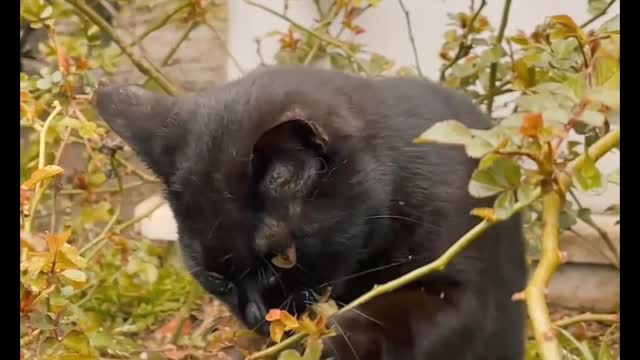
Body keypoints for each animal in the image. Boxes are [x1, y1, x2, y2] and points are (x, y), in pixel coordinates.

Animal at [94, 66, 524, 358]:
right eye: (215, 278)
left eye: (282, 259)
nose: (258, 317)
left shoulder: (464, 292)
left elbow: (389, 317)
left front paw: (329, 338)